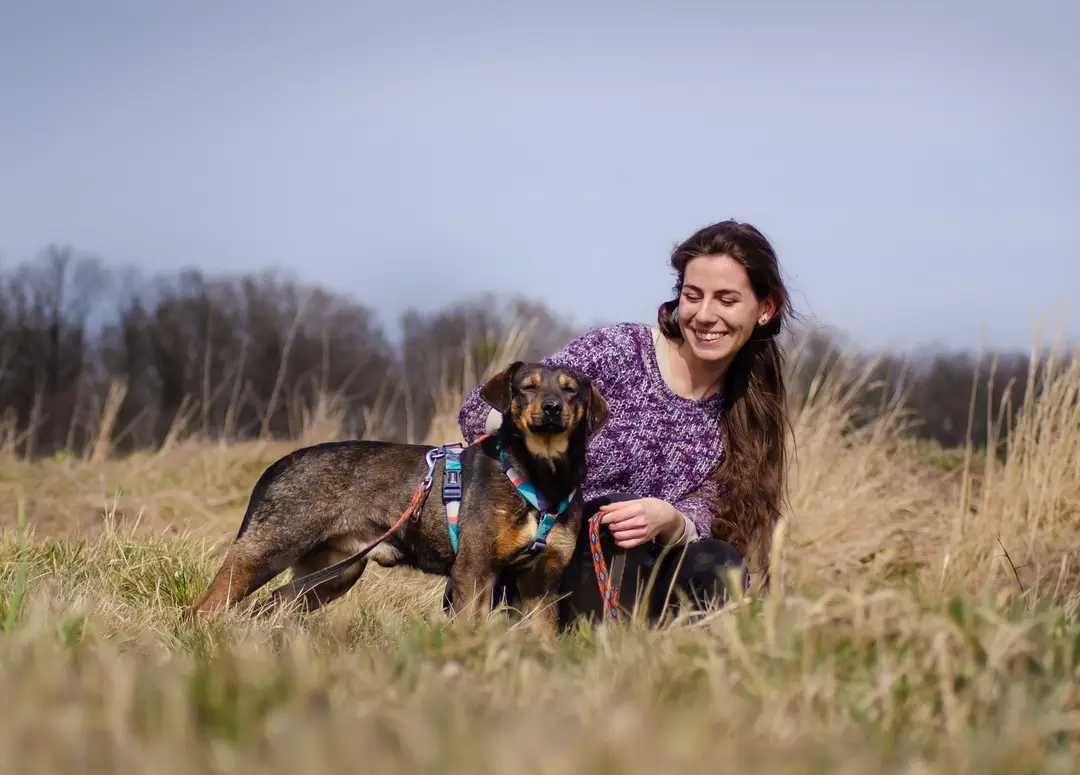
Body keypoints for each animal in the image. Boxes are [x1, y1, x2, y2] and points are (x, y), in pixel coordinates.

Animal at [192, 360, 609, 634]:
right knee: (208, 605)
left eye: (571, 390)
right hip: (269, 549)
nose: (552, 408)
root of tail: (280, 464)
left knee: (272, 605)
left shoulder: (541, 583)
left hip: (332, 572)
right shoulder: (474, 571)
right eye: (528, 387)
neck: (541, 477)